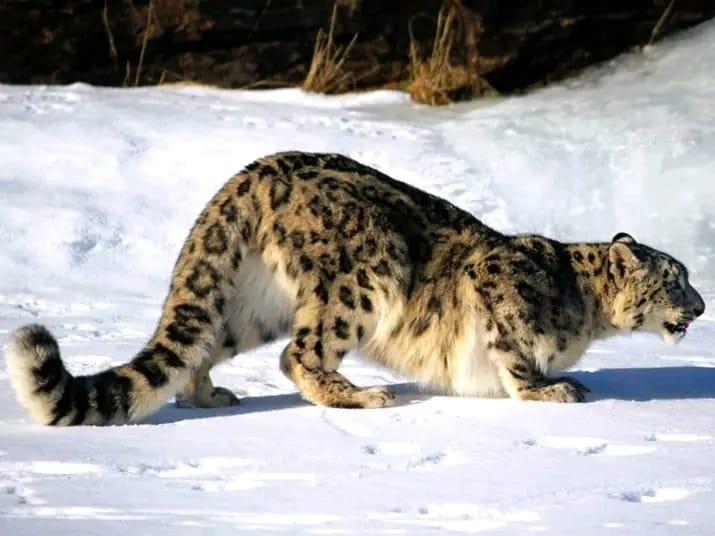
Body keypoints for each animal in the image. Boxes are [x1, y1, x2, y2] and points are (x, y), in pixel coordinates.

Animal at [4, 153, 704, 426]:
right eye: (675, 278)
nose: (701, 306)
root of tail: (252, 174)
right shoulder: (498, 285)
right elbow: (514, 354)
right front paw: (552, 389)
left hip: (250, 304)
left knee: (203, 342)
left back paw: (207, 396)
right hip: (370, 270)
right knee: (300, 355)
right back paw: (361, 395)